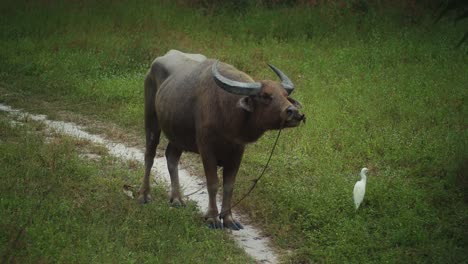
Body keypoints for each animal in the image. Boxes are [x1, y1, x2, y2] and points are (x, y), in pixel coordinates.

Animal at [138, 49, 308, 229]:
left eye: (285, 95)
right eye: (265, 95)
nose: (294, 112)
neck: (229, 114)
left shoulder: (238, 151)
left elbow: (229, 185)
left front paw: (228, 219)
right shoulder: (206, 148)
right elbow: (213, 183)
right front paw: (212, 218)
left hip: (177, 134)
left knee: (171, 157)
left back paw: (177, 199)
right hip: (151, 119)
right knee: (149, 155)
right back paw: (144, 195)